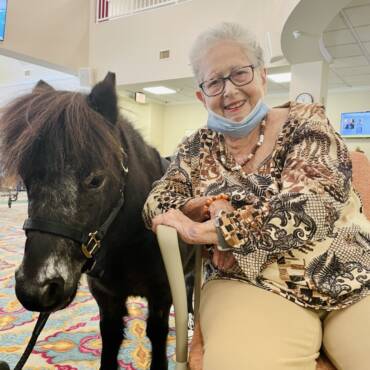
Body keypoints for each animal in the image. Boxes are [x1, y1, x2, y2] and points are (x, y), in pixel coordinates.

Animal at [0, 73, 194, 370]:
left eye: (95, 180)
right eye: (26, 178)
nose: (36, 289)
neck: (130, 239)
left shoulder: (162, 295)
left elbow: (157, 335)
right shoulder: (107, 299)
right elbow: (111, 338)